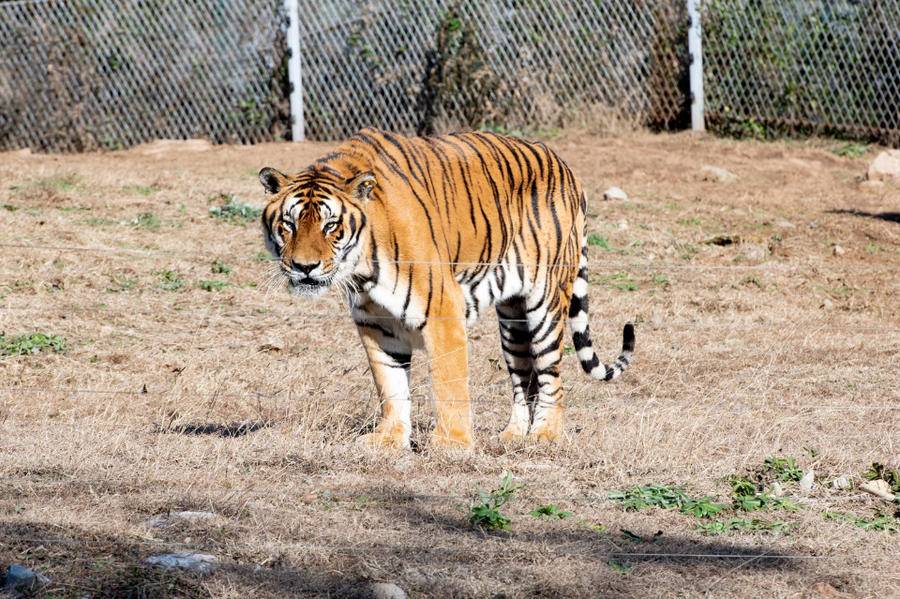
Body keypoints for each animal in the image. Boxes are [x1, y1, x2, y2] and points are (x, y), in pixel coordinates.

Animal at [258, 130, 632, 450]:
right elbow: (390, 385)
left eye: (330, 225)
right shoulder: (375, 323)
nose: (304, 267)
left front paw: (452, 443)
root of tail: (566, 167)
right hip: (513, 319)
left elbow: (449, 381)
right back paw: (512, 435)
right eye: (288, 224)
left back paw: (546, 434)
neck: (362, 269)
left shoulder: (442, 310)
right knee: (523, 380)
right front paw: (389, 439)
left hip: (546, 304)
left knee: (551, 373)